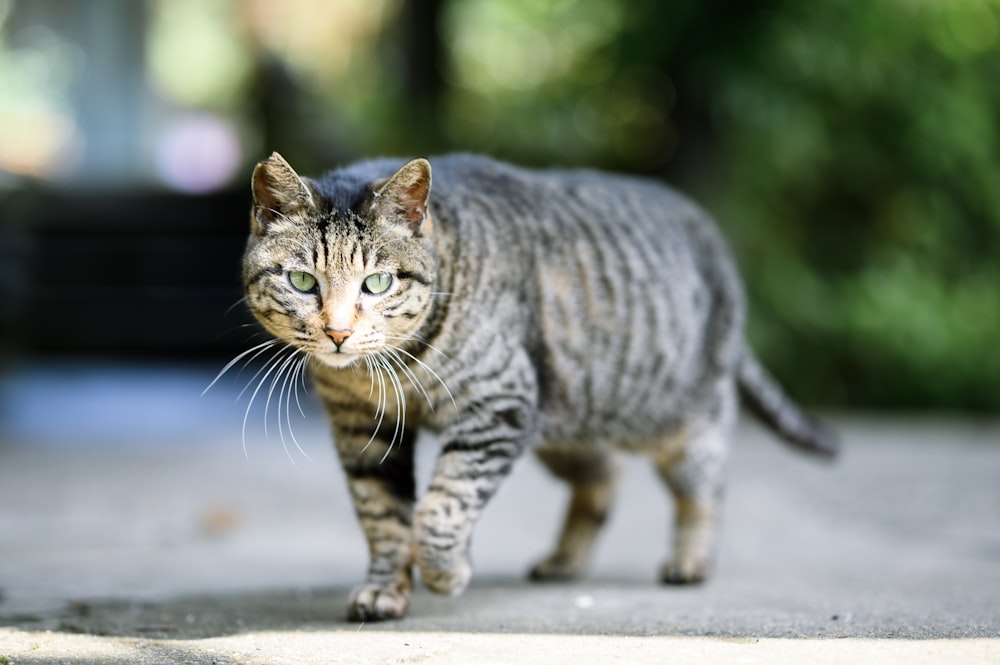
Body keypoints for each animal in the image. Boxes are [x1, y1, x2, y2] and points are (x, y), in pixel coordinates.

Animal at [240, 153, 836, 620]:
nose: (338, 333)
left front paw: (447, 574)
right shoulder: (363, 430)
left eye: (378, 282)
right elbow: (383, 516)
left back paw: (690, 561)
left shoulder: (497, 405)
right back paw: (564, 560)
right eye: (303, 282)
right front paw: (386, 588)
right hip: (562, 424)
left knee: (703, 490)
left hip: (683, 424)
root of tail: (714, 239)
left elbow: (440, 509)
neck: (383, 371)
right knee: (604, 478)